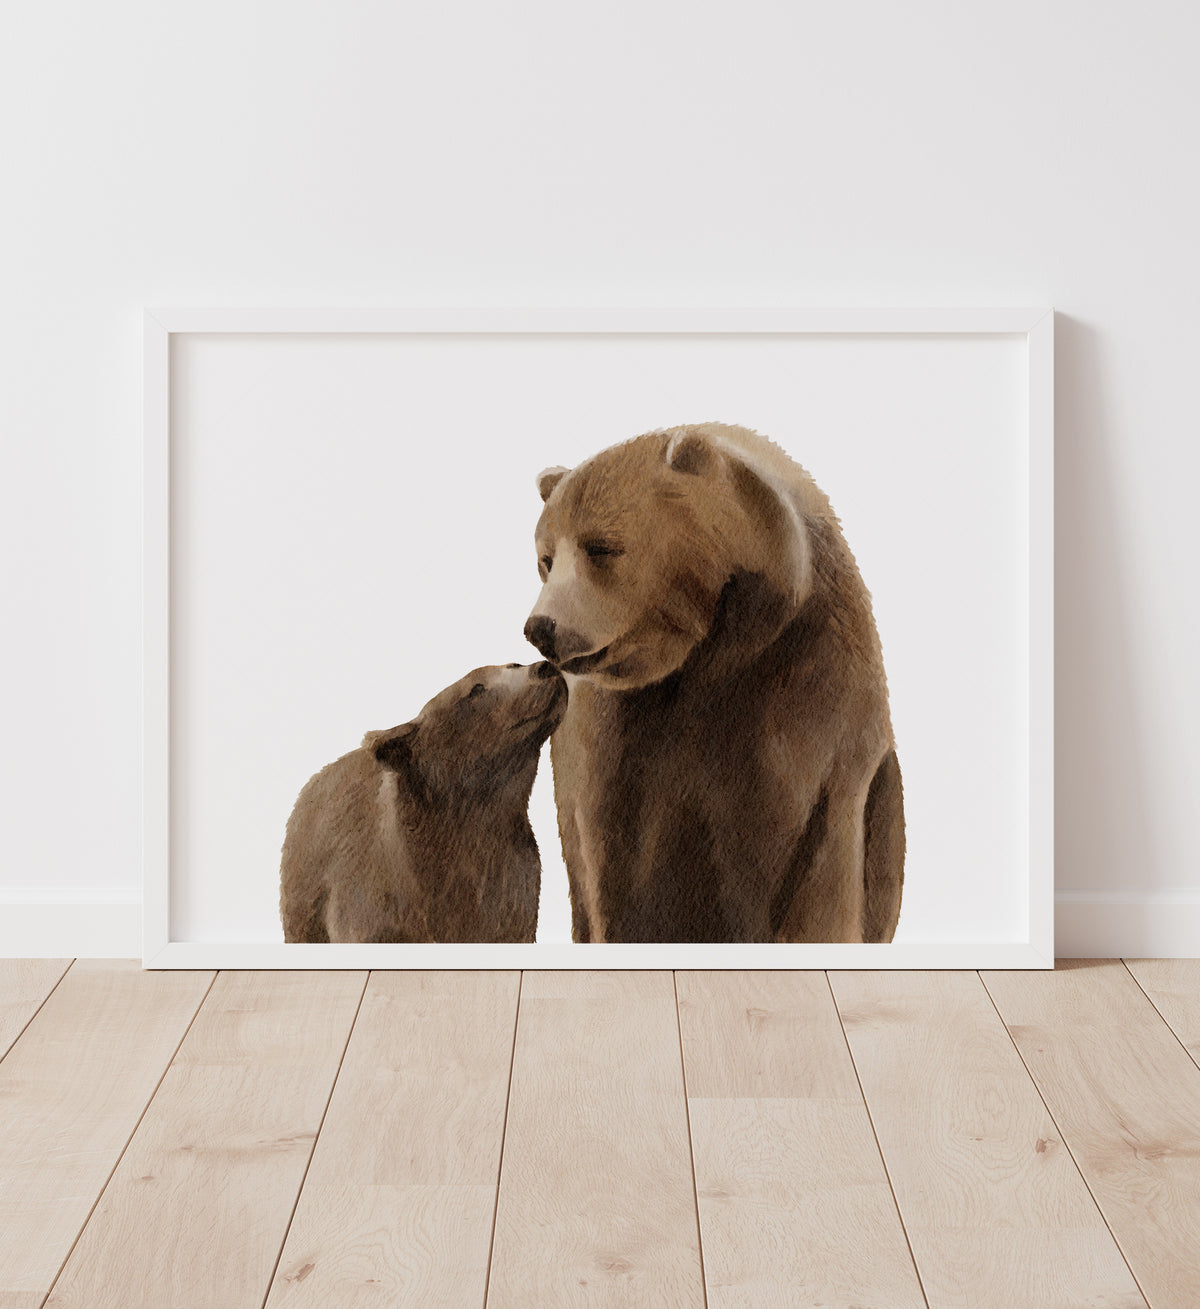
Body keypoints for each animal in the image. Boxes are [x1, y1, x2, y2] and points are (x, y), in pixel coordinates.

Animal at [523, 421, 904, 944]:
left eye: (601, 547)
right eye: (545, 558)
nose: (541, 627)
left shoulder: (805, 687)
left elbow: (816, 866)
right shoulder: (615, 730)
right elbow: (610, 854)